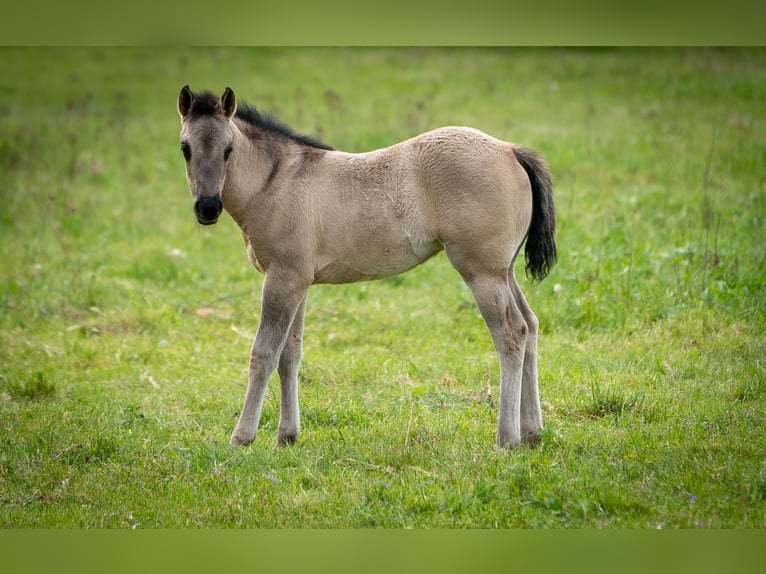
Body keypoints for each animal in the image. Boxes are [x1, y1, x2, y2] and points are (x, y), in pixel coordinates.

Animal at [176, 85, 556, 449]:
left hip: (482, 273)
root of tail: (509, 150)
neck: (278, 182)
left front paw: (242, 437)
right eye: (185, 148)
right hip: (504, 272)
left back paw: (507, 439)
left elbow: (264, 353)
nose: (207, 207)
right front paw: (287, 436)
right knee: (531, 325)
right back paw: (533, 433)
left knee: (511, 333)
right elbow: (290, 354)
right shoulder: (298, 281)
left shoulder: (282, 278)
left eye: (228, 149)